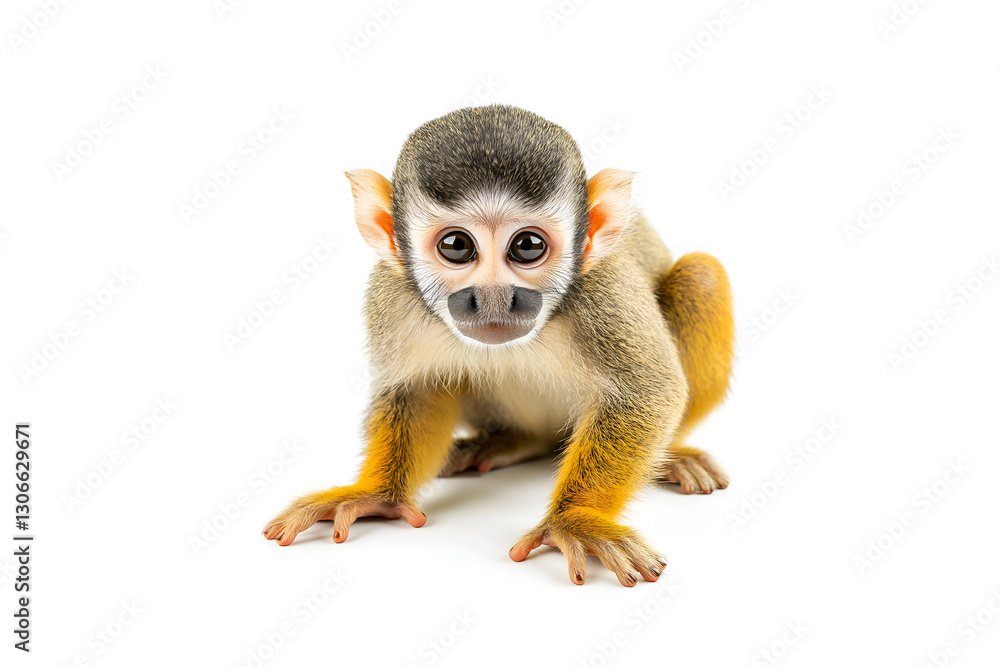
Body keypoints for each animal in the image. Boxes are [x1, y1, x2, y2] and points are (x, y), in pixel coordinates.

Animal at [263, 104, 734, 587]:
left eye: (528, 246)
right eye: (456, 246)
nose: (493, 297)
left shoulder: (605, 291)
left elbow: (647, 391)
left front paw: (576, 520)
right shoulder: (391, 294)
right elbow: (418, 390)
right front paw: (376, 494)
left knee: (701, 275)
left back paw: (674, 454)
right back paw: (512, 441)